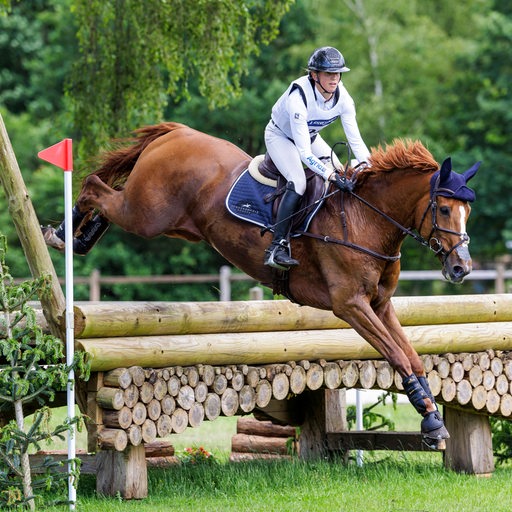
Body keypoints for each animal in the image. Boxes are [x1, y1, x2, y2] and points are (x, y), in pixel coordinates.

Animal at [41, 122, 480, 450]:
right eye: (444, 209)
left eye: (467, 211)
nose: (462, 267)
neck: (366, 219)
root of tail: (176, 133)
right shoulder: (351, 305)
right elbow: (397, 355)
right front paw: (431, 421)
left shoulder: (381, 305)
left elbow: (412, 356)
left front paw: (432, 417)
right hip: (147, 214)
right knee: (95, 186)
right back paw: (63, 235)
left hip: (170, 222)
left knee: (108, 196)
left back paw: (81, 236)